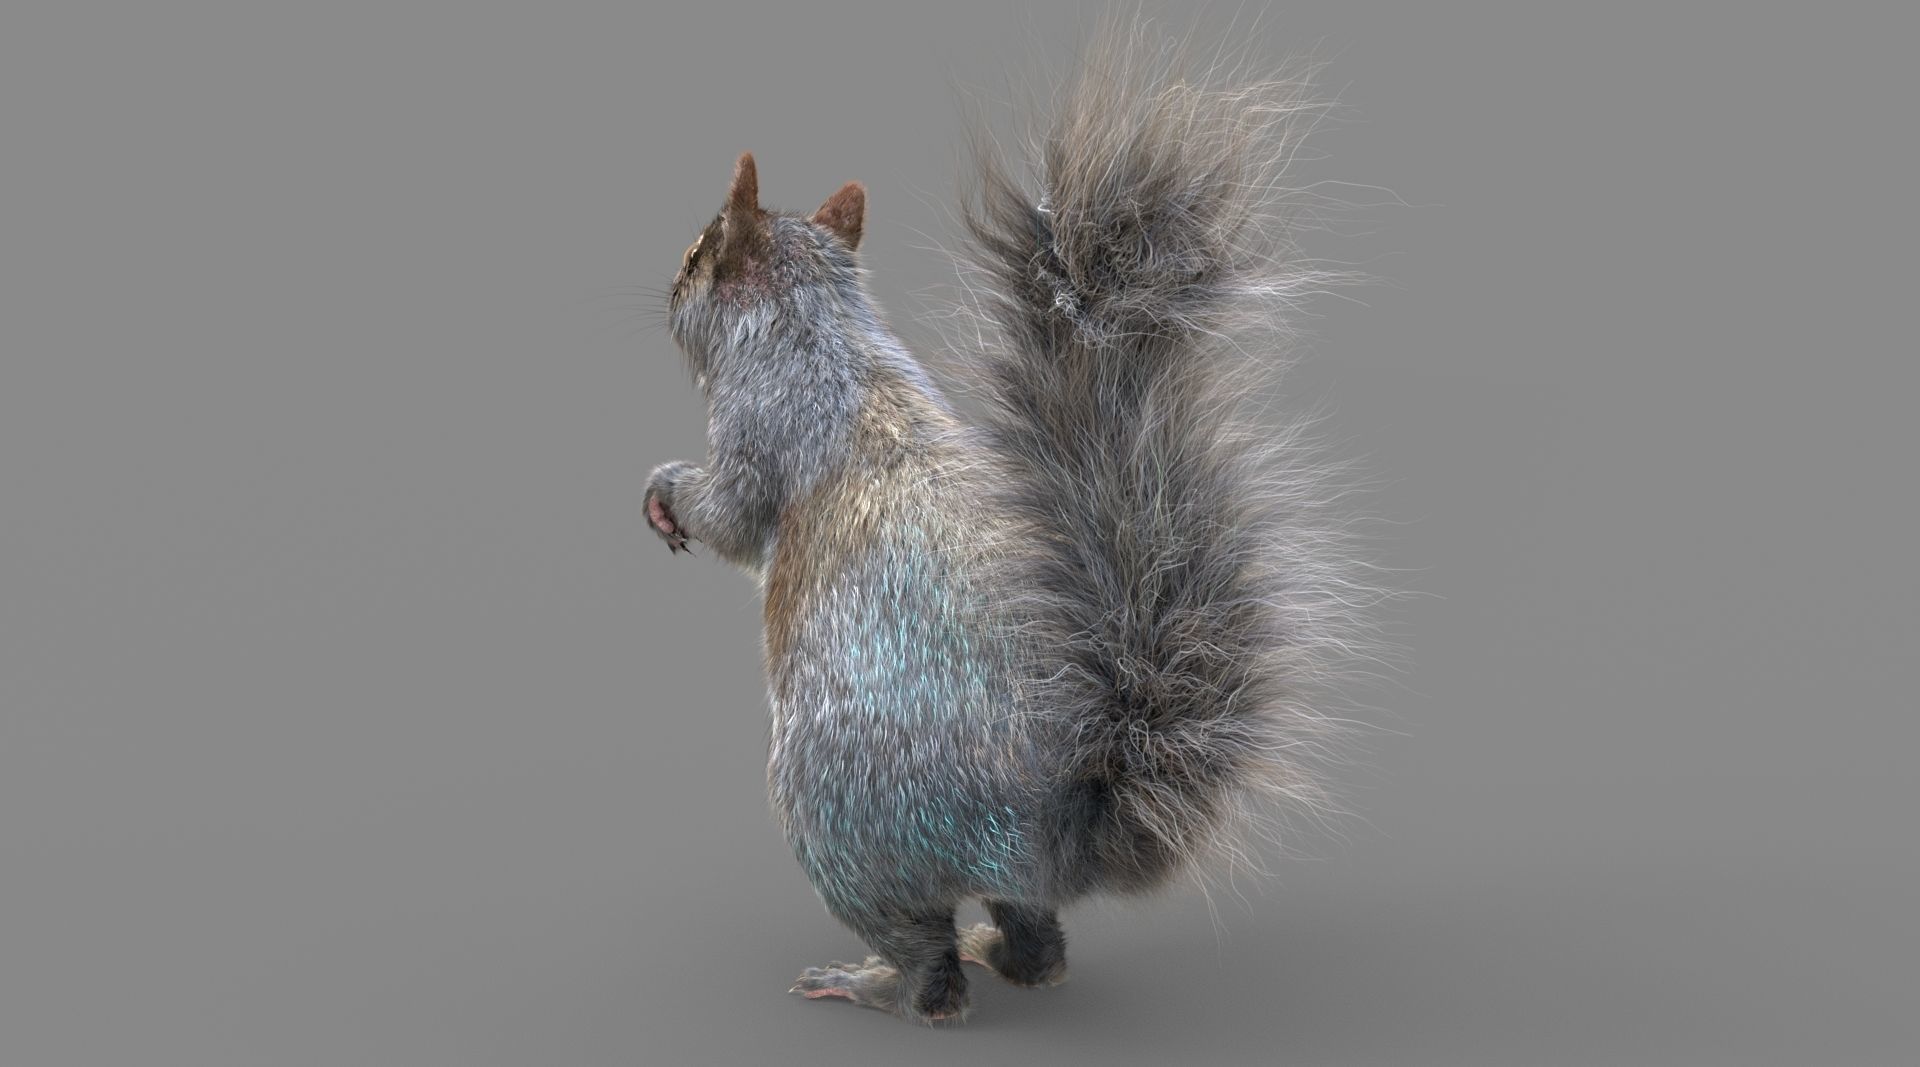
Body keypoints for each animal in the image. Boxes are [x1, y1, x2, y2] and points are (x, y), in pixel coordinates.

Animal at [643, 30, 1375, 1024]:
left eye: (698, 250)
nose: (665, 287)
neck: (816, 327)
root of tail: (1056, 822)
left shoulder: (765, 428)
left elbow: (731, 512)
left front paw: (666, 492)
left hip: (832, 817)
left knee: (926, 959)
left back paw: (876, 982)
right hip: (982, 870)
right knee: (1034, 931)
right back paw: (1010, 953)